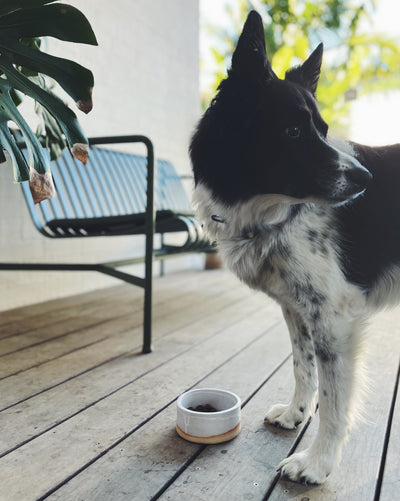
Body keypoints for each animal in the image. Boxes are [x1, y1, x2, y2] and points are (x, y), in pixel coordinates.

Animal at [190, 8, 400, 484]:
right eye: (292, 132)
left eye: (322, 130)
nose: (366, 180)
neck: (272, 210)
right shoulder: (297, 307)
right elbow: (303, 365)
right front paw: (294, 414)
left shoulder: (335, 317)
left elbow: (335, 400)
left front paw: (318, 463)